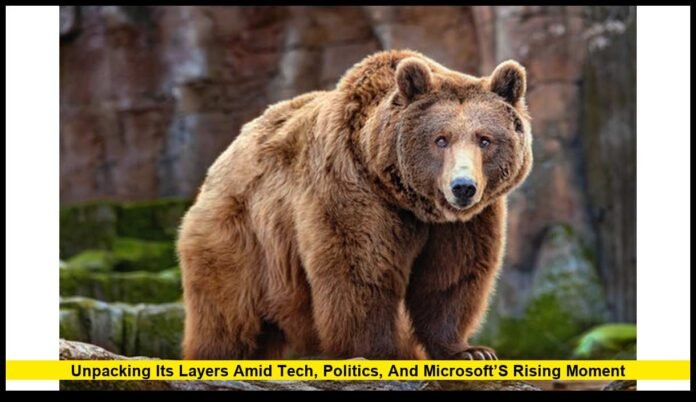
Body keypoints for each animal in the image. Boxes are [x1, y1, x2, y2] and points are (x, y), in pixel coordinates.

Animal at [177, 49, 533, 360]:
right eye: (440, 139)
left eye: (485, 139)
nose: (463, 187)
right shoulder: (351, 189)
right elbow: (361, 270)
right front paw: (379, 352)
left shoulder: (463, 223)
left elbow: (451, 278)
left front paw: (471, 350)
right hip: (241, 237)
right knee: (228, 315)